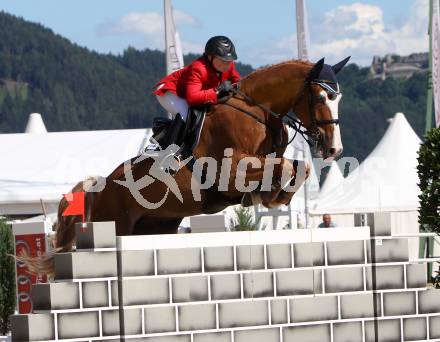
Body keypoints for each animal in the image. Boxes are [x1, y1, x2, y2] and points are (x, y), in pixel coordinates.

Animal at [23, 56, 350, 276]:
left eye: (338, 98)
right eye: (321, 97)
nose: (334, 149)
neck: (256, 111)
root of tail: (99, 188)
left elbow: (297, 167)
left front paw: (276, 196)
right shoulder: (230, 172)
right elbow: (285, 168)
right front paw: (268, 196)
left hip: (153, 228)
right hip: (115, 224)